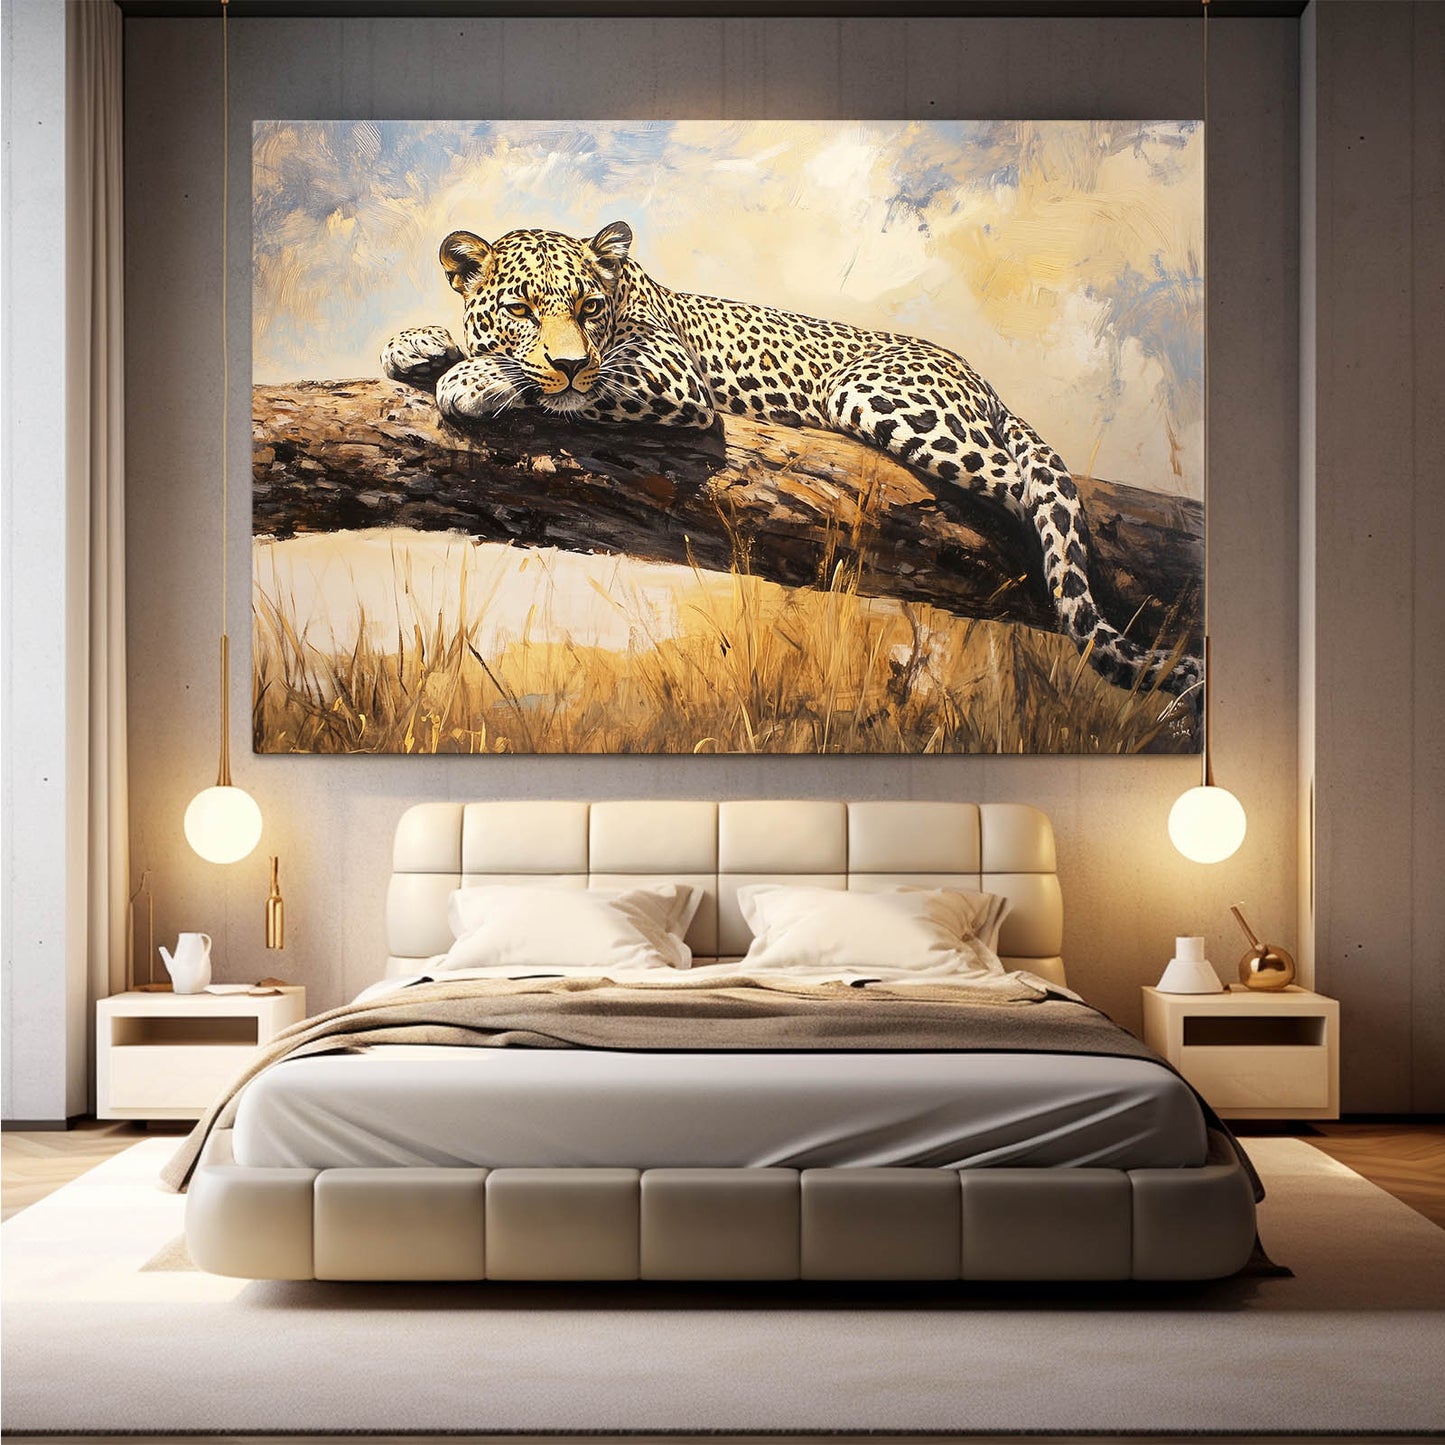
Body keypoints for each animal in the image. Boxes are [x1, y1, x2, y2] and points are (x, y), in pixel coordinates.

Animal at [381, 220, 1200, 696]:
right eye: (521, 309)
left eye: (588, 307)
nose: (570, 360)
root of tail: (982, 380)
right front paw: (415, 342)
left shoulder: (664, 373)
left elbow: (564, 389)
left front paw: (475, 377)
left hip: (873, 394)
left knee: (1028, 485)